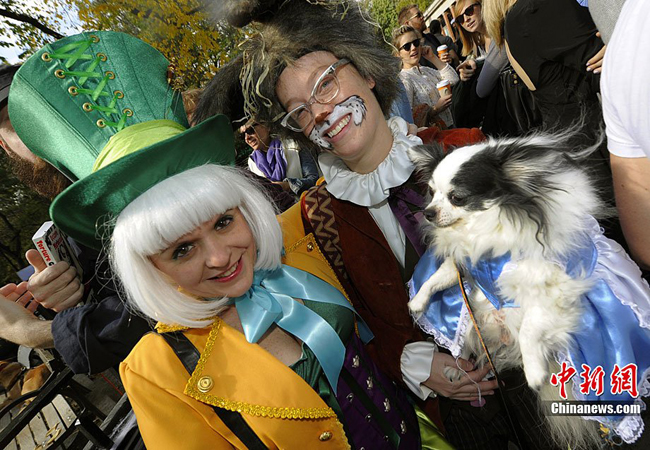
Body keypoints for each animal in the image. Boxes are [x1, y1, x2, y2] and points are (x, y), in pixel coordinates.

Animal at [404, 132, 648, 448]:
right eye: (431, 192)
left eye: (457, 198)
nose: (428, 212)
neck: (481, 230)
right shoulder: (465, 265)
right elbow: (438, 276)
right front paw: (418, 302)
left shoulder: (548, 288)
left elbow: (529, 330)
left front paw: (534, 371)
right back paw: (457, 369)